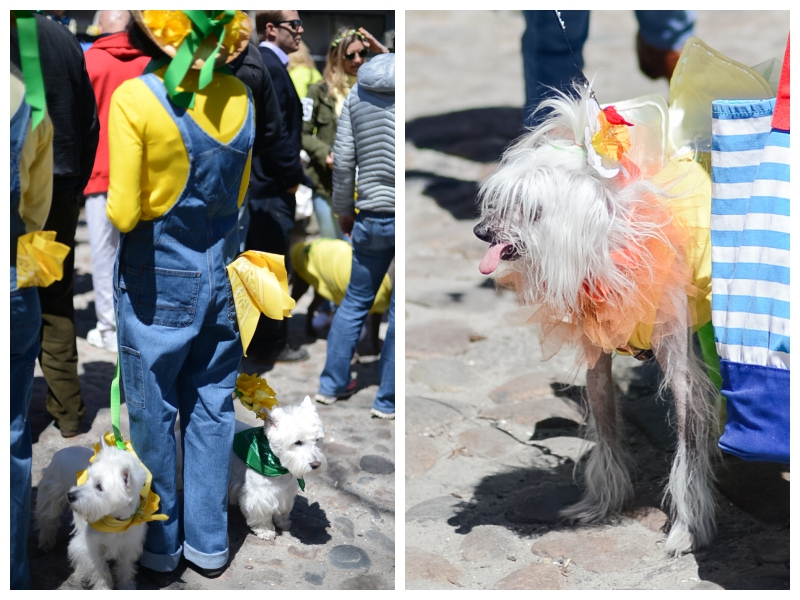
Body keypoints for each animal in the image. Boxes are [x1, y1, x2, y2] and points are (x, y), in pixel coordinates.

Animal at [36, 442, 149, 588]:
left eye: (99, 486)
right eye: (87, 479)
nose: (70, 495)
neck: (116, 522)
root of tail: (64, 450)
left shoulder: (130, 545)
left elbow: (125, 568)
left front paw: (127, 586)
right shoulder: (90, 547)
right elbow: (100, 571)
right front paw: (104, 588)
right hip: (51, 495)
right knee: (47, 521)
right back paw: (46, 543)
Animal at [227, 396, 326, 540]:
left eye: (317, 440)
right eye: (297, 442)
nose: (316, 464)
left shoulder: (285, 491)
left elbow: (282, 507)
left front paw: (282, 522)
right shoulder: (259, 494)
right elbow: (262, 514)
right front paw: (266, 531)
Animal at [476, 86, 720, 556]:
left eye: (530, 210)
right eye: (499, 204)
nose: (481, 231)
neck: (614, 247)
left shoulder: (682, 372)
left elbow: (688, 442)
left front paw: (685, 527)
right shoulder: (597, 360)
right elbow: (605, 426)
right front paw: (602, 505)